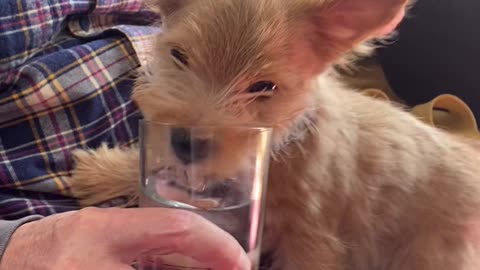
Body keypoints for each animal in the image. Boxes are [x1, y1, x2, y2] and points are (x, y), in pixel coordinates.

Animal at [68, 1, 480, 268]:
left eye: (264, 87)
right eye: (179, 56)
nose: (186, 143)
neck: (282, 144)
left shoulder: (311, 241)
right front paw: (100, 171)